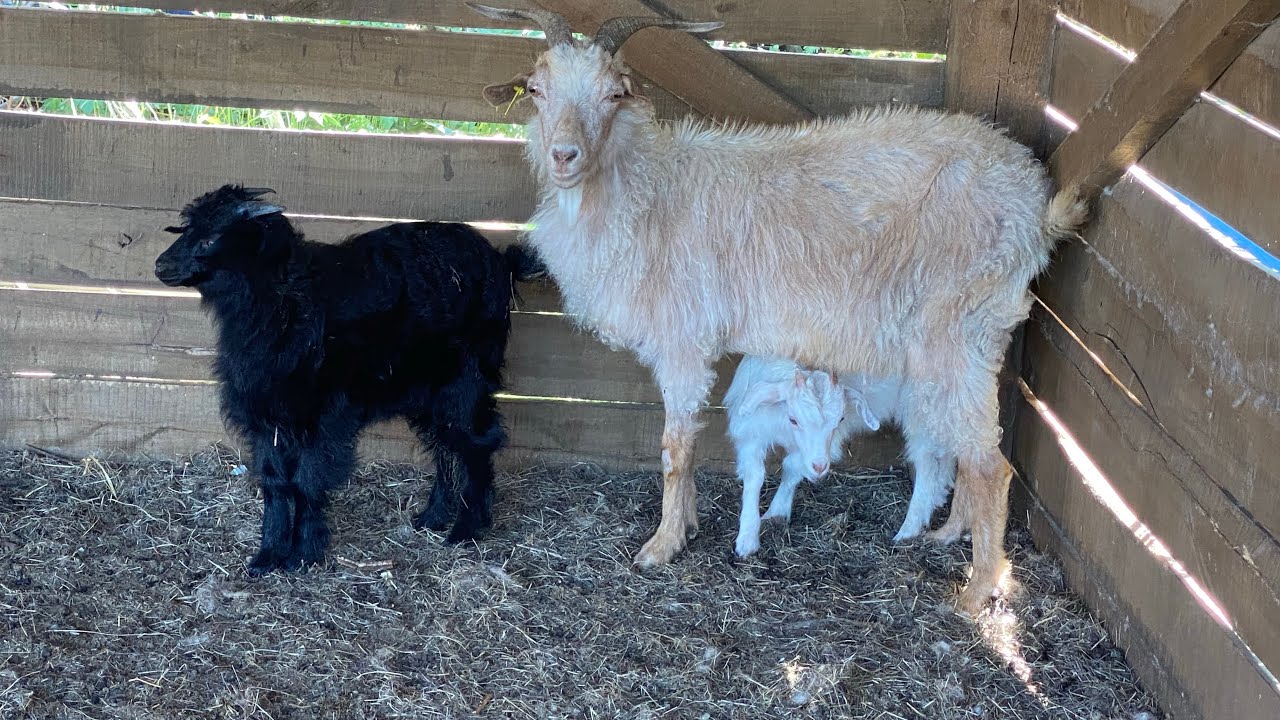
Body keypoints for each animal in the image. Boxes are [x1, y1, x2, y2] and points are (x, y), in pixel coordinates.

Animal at [154, 184, 534, 574]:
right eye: (187, 229)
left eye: (212, 238)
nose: (161, 265)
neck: (286, 304)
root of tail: (502, 261)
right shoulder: (267, 416)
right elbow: (276, 484)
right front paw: (268, 555)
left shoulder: (326, 416)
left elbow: (307, 483)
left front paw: (303, 554)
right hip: (427, 391)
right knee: (446, 445)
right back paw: (432, 518)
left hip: (467, 381)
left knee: (477, 444)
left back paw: (466, 530)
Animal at [725, 356, 956, 557]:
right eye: (793, 419)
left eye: (840, 419)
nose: (820, 468)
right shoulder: (752, 432)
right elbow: (755, 477)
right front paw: (748, 537)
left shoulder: (826, 446)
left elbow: (791, 467)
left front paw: (777, 511)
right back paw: (937, 497)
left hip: (923, 405)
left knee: (928, 462)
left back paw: (909, 528)